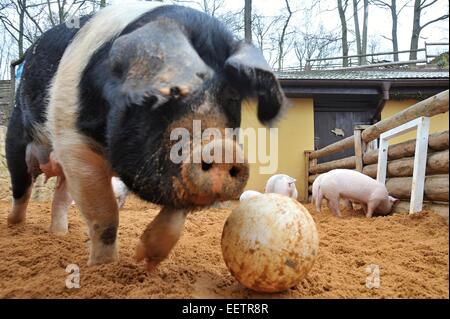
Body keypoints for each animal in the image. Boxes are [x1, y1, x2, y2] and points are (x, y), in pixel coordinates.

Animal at [6, 2, 284, 270]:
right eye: (169, 90)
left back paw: (59, 234)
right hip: (17, 138)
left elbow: (174, 220)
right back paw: (14, 227)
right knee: (22, 189)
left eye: (233, 97)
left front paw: (146, 261)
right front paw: (102, 268)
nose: (223, 149)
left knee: (61, 198)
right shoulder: (74, 142)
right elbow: (104, 213)